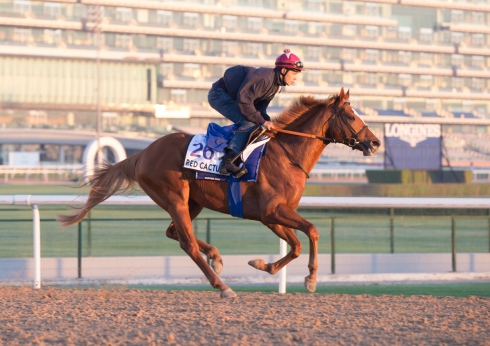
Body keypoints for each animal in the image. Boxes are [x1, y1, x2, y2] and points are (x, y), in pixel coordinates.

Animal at [56, 88, 378, 298]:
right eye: (351, 116)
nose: (374, 143)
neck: (287, 155)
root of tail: (142, 153)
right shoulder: (273, 211)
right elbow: (312, 231)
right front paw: (311, 278)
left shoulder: (271, 216)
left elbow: (296, 245)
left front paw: (263, 264)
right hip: (174, 196)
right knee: (187, 243)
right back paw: (222, 286)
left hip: (192, 201)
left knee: (174, 234)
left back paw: (216, 257)